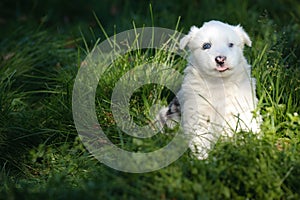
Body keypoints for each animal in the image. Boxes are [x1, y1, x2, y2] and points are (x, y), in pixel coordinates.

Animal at [157, 20, 260, 159]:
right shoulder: (198, 113)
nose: (220, 59)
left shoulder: (242, 105)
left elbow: (246, 125)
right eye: (206, 45)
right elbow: (200, 137)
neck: (218, 83)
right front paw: (201, 157)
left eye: (231, 44)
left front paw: (251, 146)